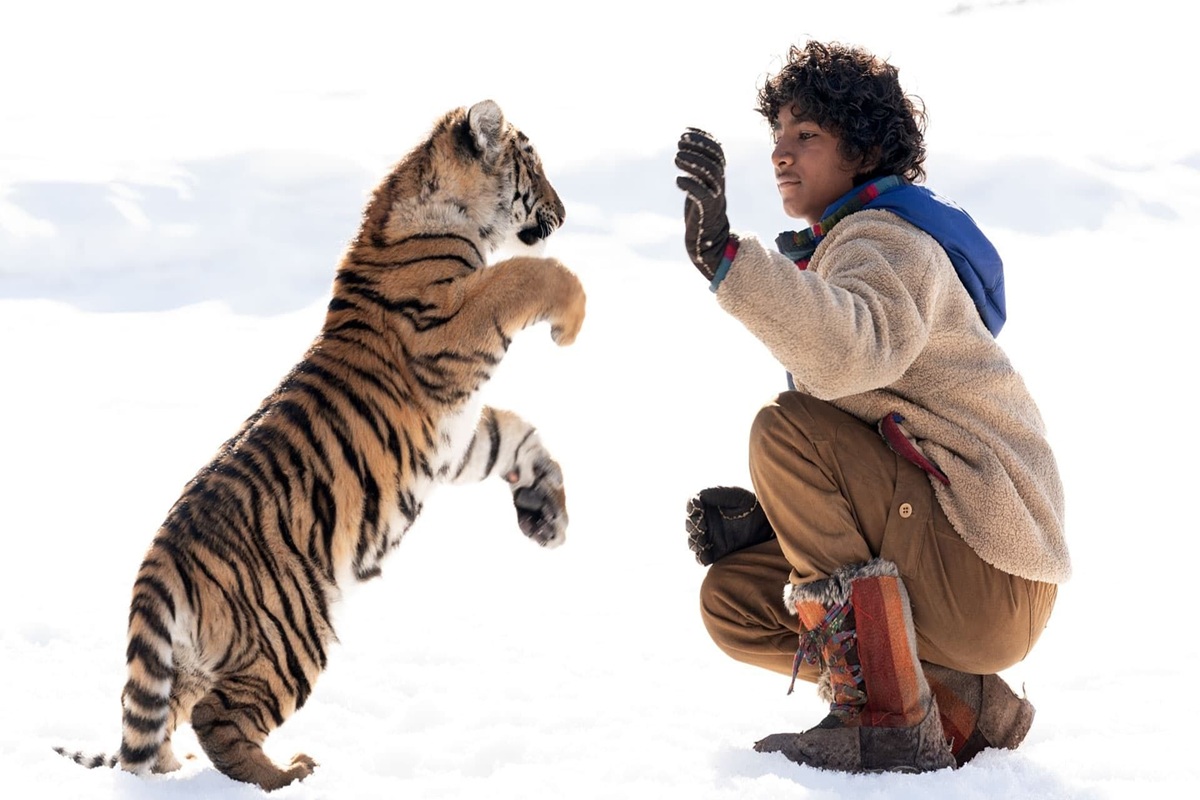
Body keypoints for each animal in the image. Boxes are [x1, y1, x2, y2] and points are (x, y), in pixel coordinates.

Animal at [54, 99, 586, 791]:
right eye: (534, 166)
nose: (565, 212)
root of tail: (157, 562)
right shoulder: (450, 324)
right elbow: (527, 274)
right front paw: (571, 320)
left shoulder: (459, 439)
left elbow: (517, 437)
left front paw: (546, 515)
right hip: (291, 634)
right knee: (218, 717)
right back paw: (288, 774)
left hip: (199, 657)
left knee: (162, 718)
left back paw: (173, 771)